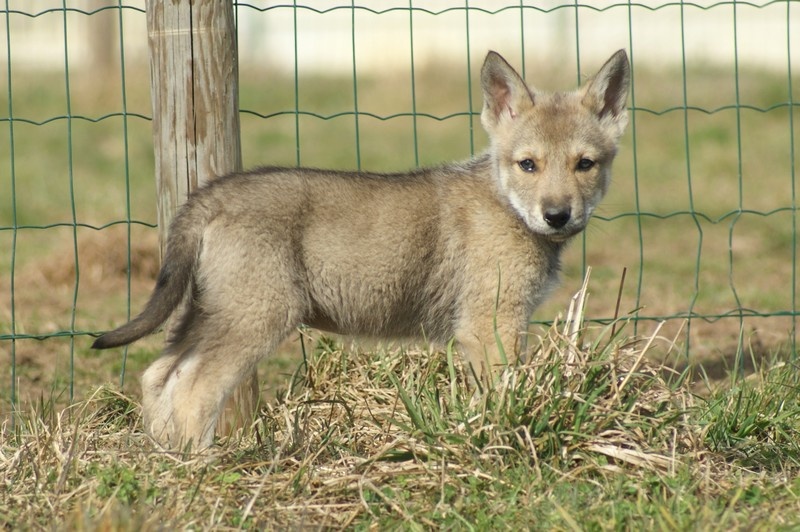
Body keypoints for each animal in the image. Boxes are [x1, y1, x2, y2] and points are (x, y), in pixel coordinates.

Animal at [94, 51, 632, 448]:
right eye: (528, 165)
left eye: (585, 164)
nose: (557, 215)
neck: (504, 203)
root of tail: (211, 194)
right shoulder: (489, 325)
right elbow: (502, 398)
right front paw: (501, 442)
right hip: (256, 317)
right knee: (193, 388)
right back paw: (202, 466)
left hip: (211, 312)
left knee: (159, 374)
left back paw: (164, 459)